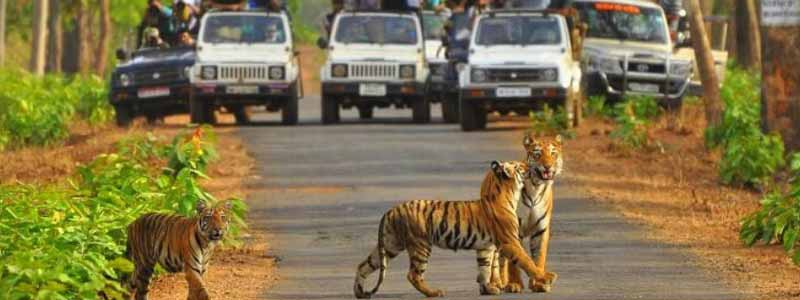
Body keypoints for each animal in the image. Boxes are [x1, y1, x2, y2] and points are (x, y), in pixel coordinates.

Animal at [354, 159, 552, 298]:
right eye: (520, 166)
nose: (529, 165)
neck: (507, 193)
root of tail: (391, 210)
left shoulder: (485, 247)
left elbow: (485, 269)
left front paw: (487, 289)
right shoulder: (509, 241)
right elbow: (527, 261)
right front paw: (547, 277)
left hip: (390, 245)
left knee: (364, 265)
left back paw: (359, 292)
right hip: (420, 245)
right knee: (413, 275)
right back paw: (434, 293)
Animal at [494, 134, 564, 292]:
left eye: (553, 153)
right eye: (537, 154)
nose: (547, 166)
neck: (536, 186)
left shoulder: (541, 229)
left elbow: (539, 257)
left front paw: (539, 284)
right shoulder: (514, 229)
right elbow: (514, 261)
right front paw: (514, 284)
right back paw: (501, 282)